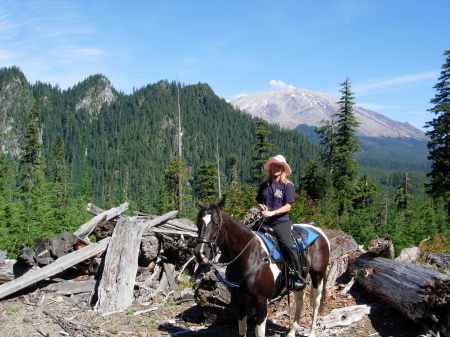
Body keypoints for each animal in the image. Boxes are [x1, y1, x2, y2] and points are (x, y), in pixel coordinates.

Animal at [193, 198, 330, 336]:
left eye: (216, 224)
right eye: (198, 224)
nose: (200, 253)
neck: (249, 255)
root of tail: (319, 232)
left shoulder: (262, 301)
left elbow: (259, 332)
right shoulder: (239, 301)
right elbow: (242, 330)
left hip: (317, 275)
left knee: (316, 302)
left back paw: (311, 332)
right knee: (300, 300)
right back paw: (292, 332)